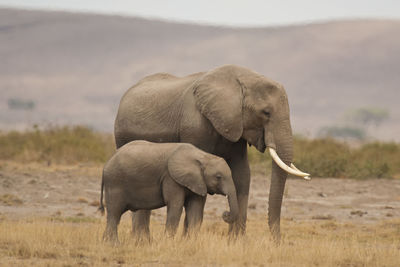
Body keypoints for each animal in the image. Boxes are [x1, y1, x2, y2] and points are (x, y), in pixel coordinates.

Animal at [99, 141, 239, 242]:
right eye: (218, 177)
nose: (225, 214)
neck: (203, 156)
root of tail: (106, 164)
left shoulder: (199, 181)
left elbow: (196, 209)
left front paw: (191, 243)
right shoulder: (171, 178)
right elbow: (175, 205)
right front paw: (168, 242)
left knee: (114, 215)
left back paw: (106, 242)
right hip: (115, 183)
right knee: (114, 213)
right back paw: (113, 244)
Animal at [114, 65, 308, 243]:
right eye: (266, 112)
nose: (278, 242)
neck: (242, 79)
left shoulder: (235, 126)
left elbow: (242, 174)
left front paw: (236, 243)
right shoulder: (195, 125)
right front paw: (188, 241)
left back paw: (141, 240)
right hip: (123, 138)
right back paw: (141, 241)